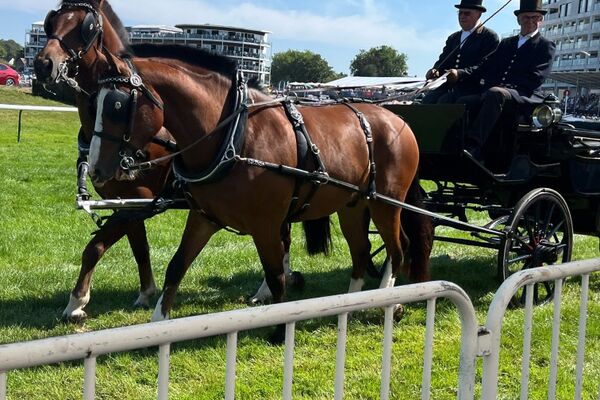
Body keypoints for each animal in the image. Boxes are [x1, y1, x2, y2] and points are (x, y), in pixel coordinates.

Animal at [91, 44, 432, 340]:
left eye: (117, 105)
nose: (95, 169)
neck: (235, 136)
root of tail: (398, 119)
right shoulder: (204, 218)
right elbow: (176, 266)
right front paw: (157, 322)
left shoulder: (266, 225)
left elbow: (276, 275)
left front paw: (280, 330)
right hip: (353, 206)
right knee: (362, 252)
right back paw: (349, 306)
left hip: (387, 204)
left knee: (398, 248)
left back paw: (391, 302)